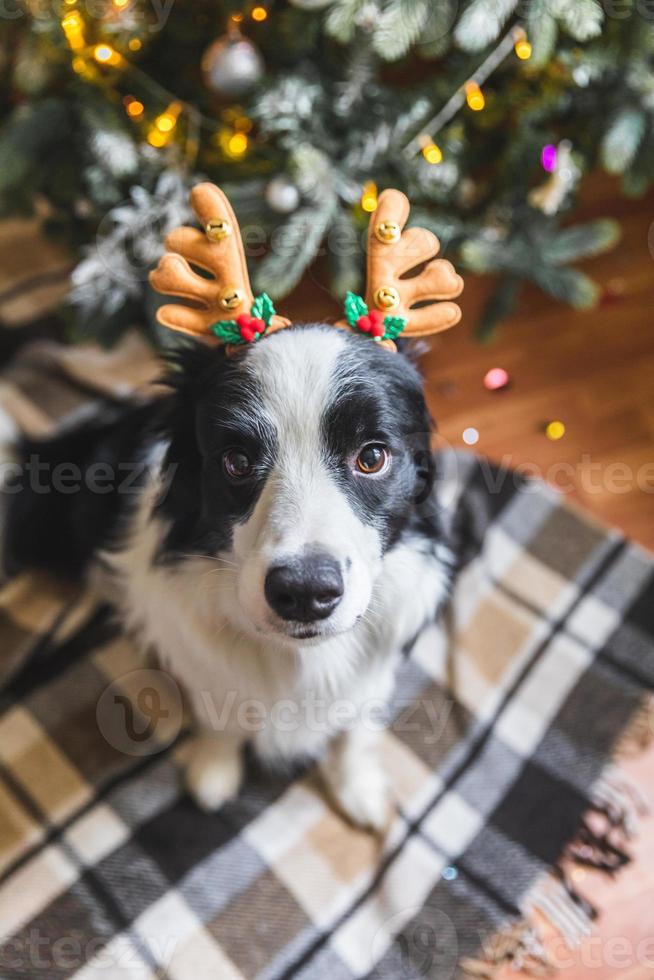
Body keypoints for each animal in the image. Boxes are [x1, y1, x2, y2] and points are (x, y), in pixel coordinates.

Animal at [2, 326, 454, 832]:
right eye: (236, 461)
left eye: (372, 456)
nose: (304, 592)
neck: (296, 655)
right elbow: (219, 712)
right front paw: (214, 771)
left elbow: (357, 725)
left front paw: (359, 787)